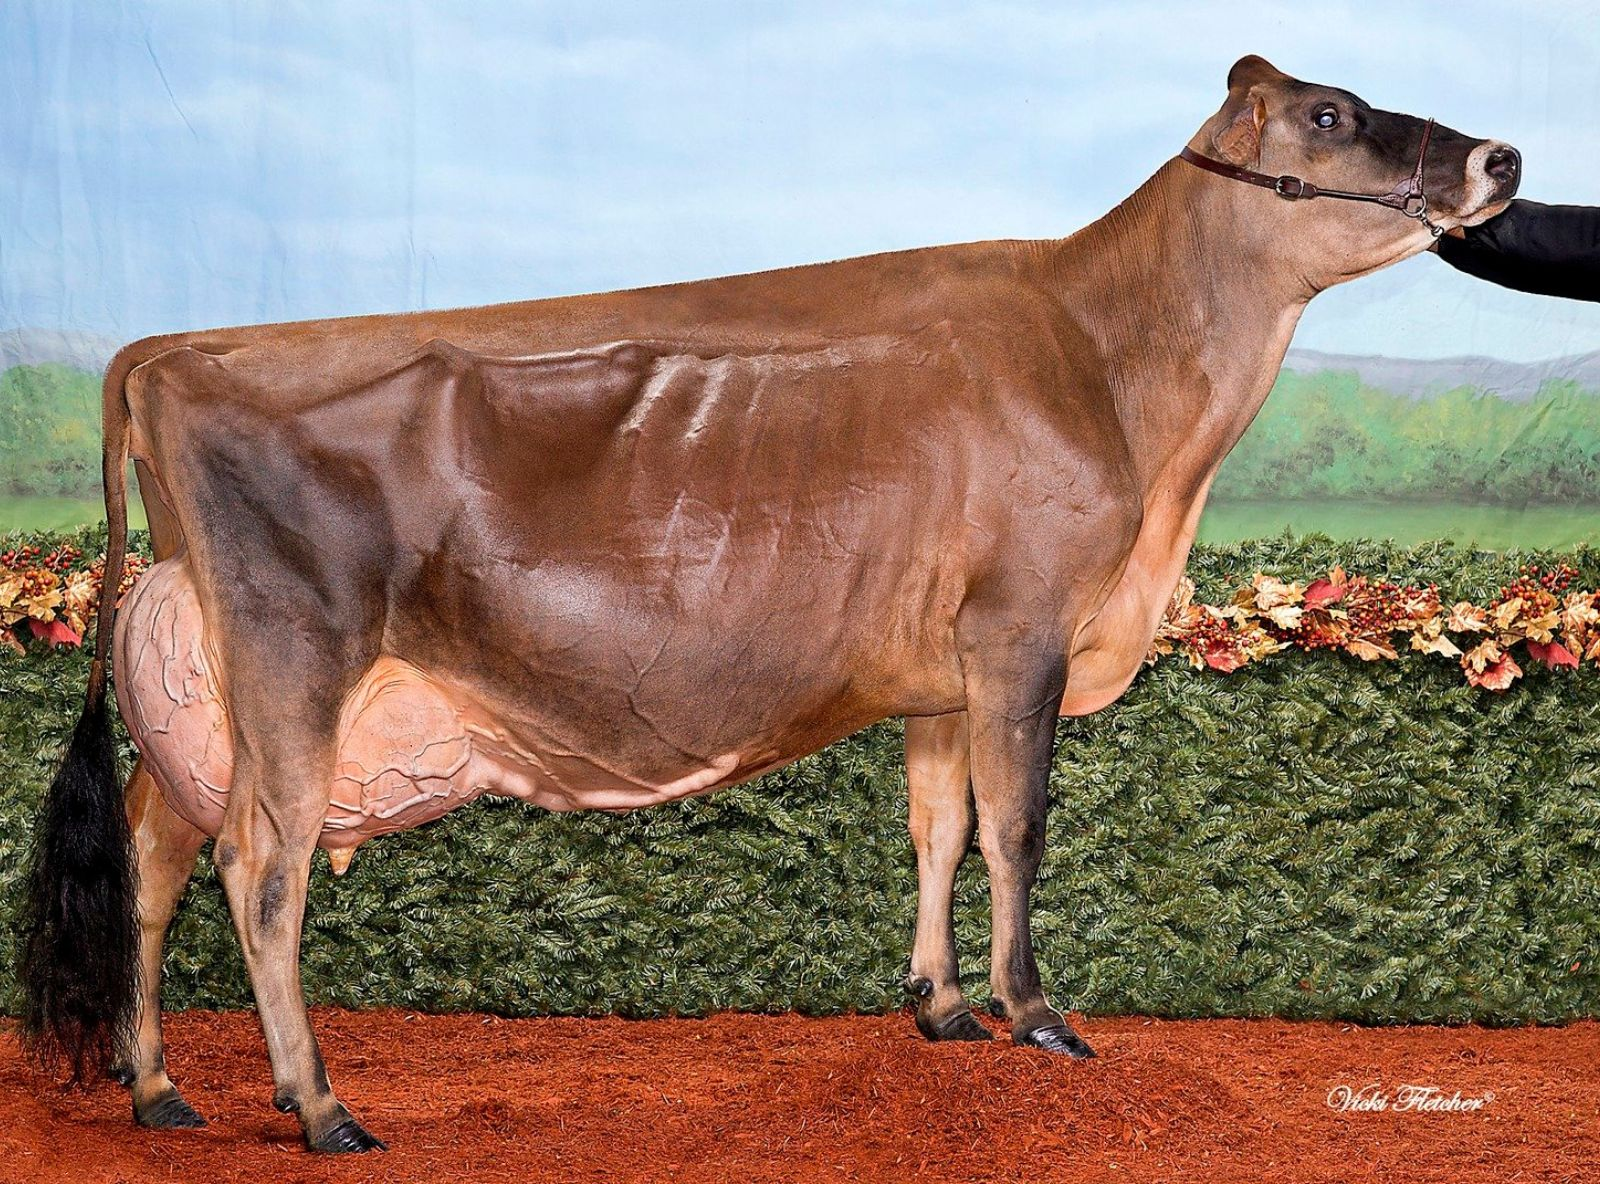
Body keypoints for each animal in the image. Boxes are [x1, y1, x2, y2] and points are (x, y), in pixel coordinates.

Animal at [19, 56, 1519, 1152]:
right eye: (1331, 116)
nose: (1502, 157)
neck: (1115, 372)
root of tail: (169, 350)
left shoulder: (942, 670)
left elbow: (938, 826)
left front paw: (940, 1009)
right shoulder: (1020, 629)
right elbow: (1019, 830)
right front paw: (1037, 1015)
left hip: (206, 690)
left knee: (153, 856)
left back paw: (159, 1087)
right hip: (295, 657)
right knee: (258, 871)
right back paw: (321, 1106)